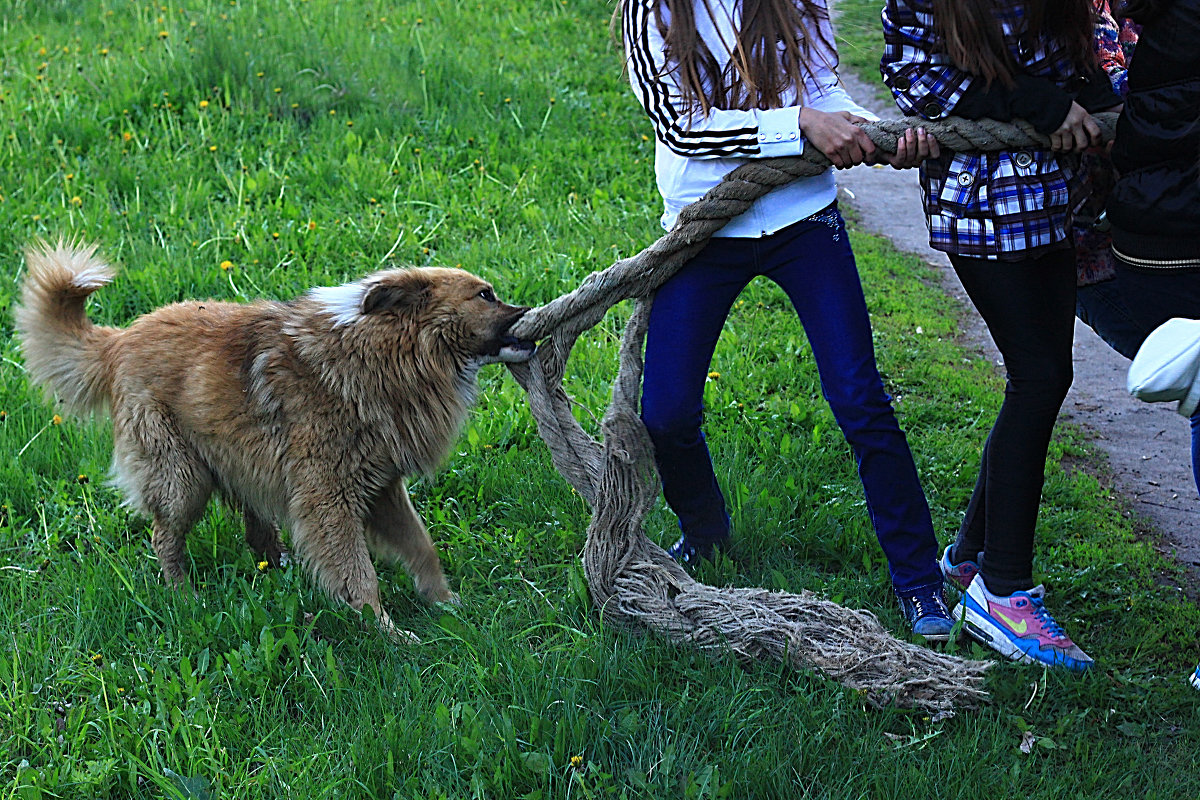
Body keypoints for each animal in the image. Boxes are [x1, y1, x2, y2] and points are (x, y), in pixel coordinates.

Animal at [15, 239, 535, 638]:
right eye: (485, 295)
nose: (532, 310)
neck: (381, 354)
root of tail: (118, 340)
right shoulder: (330, 498)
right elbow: (359, 573)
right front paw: (386, 631)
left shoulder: (383, 488)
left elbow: (422, 547)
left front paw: (447, 604)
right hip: (181, 478)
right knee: (165, 537)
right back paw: (184, 596)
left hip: (243, 460)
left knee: (254, 526)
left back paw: (276, 566)